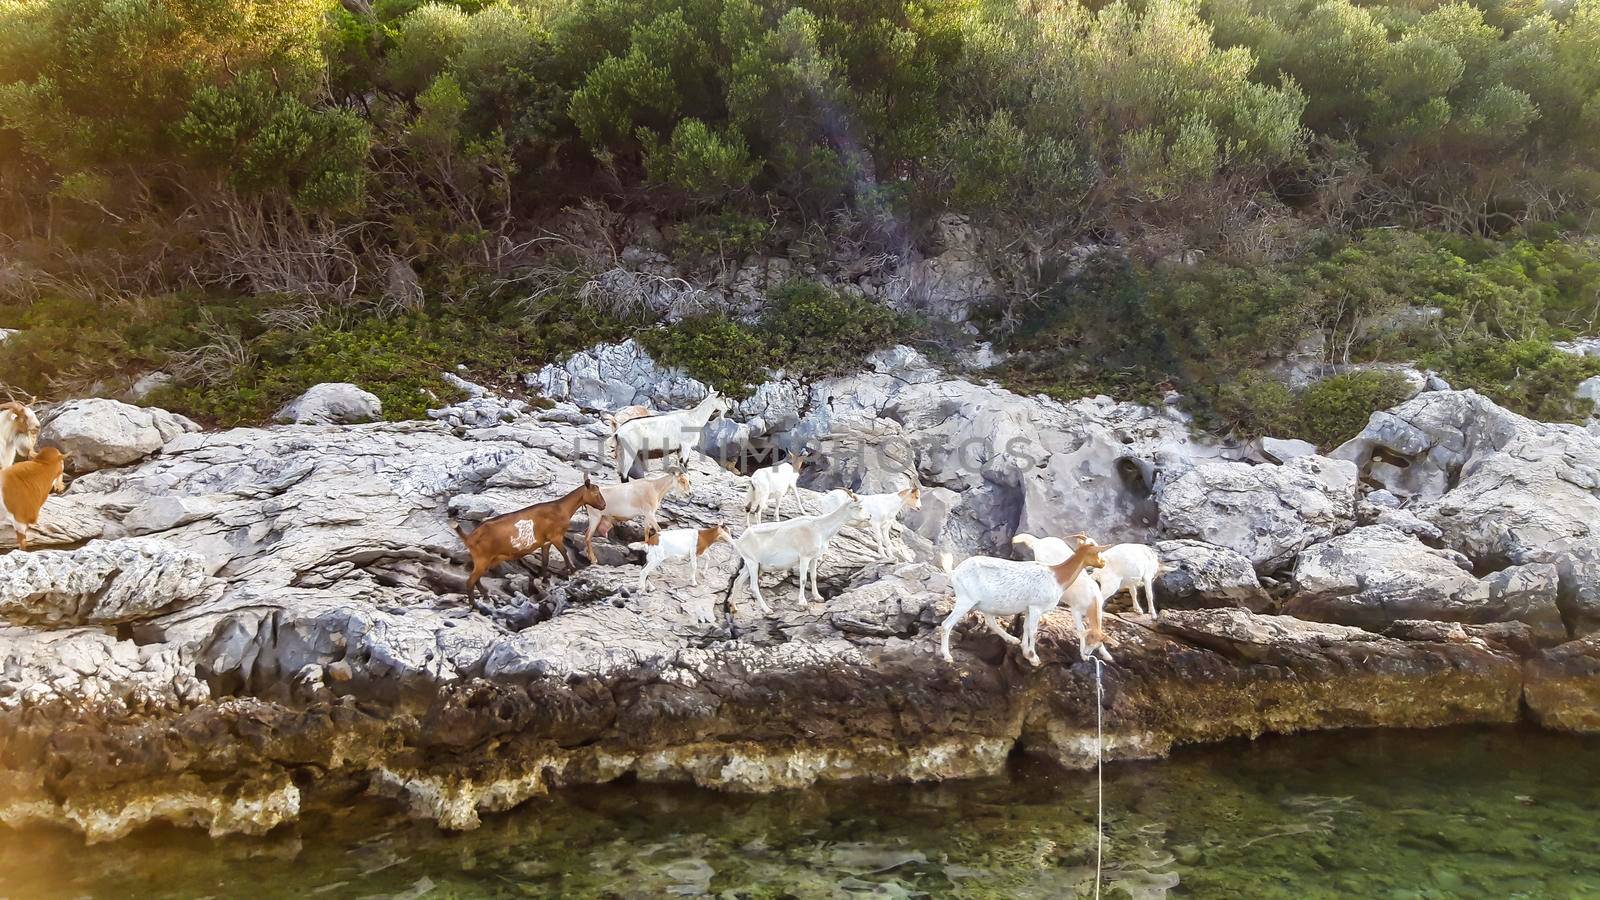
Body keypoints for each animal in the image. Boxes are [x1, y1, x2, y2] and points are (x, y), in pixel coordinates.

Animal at [457, 474, 604, 592]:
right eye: (596, 493)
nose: (604, 505)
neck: (561, 508)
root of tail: (469, 537)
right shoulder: (555, 537)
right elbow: (564, 552)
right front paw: (573, 570)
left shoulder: (546, 542)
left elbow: (545, 561)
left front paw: (545, 581)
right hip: (482, 559)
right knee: (471, 581)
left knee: (476, 579)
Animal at [732, 493, 864, 611]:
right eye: (859, 507)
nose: (867, 518)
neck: (819, 528)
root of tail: (739, 540)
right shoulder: (804, 558)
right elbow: (804, 579)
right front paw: (802, 603)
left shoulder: (813, 558)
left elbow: (814, 576)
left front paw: (818, 598)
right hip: (753, 564)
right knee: (753, 586)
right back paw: (767, 610)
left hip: (750, 565)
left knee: (738, 582)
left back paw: (734, 608)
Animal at [934, 534, 1113, 662]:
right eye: (1097, 551)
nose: (1103, 563)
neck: (1057, 576)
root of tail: (955, 572)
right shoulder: (1036, 607)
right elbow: (1033, 631)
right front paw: (1034, 657)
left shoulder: (1028, 609)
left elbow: (1026, 628)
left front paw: (1026, 652)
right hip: (966, 600)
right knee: (946, 625)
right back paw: (947, 656)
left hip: (985, 604)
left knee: (990, 622)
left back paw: (1012, 639)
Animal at [1011, 531, 1164, 614]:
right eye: (1094, 549)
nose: (1102, 561)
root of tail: (1038, 542)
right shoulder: (1147, 575)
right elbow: (1149, 594)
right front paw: (1152, 613)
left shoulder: (1130, 580)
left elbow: (1133, 592)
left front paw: (1138, 610)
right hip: (1111, 584)